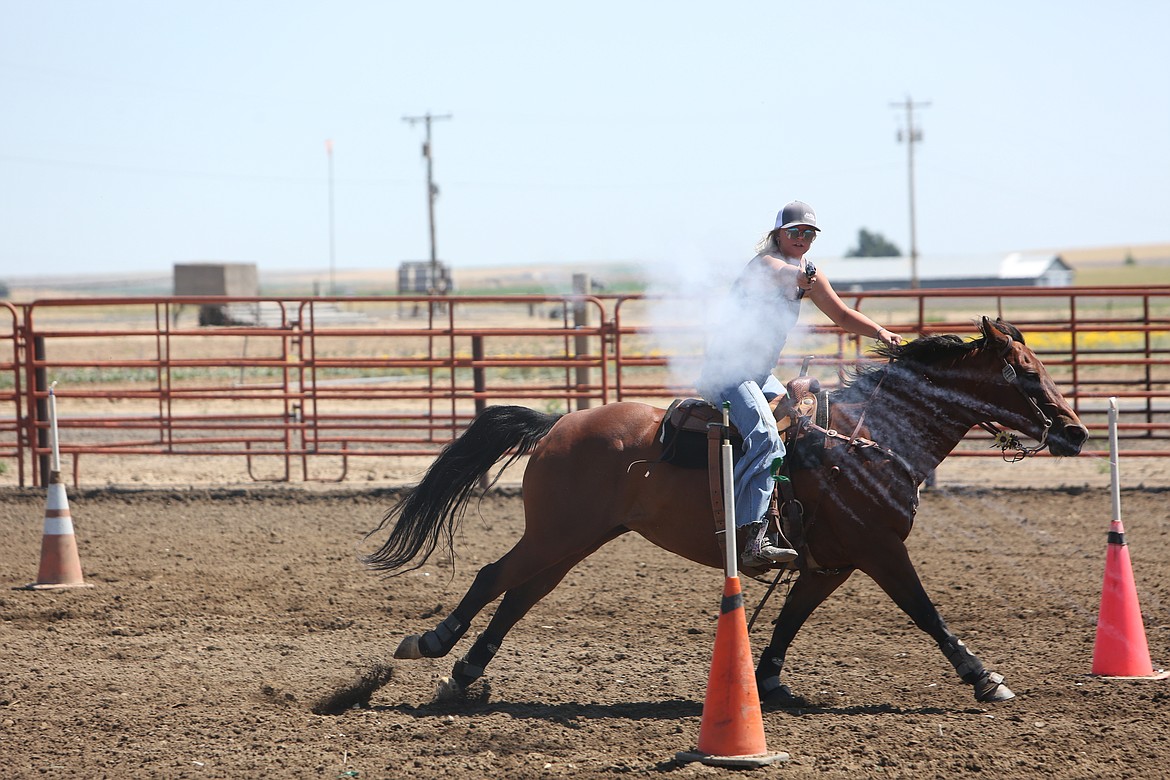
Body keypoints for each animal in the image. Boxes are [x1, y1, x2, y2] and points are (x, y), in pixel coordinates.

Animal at [362, 313, 1085, 706]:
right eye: (1025, 373)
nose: (1076, 432)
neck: (870, 435)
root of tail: (557, 424)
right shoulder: (880, 551)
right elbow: (927, 613)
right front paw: (986, 677)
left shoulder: (831, 564)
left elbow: (790, 622)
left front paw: (766, 682)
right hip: (557, 534)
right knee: (494, 578)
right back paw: (432, 643)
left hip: (578, 539)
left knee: (520, 595)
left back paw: (465, 672)